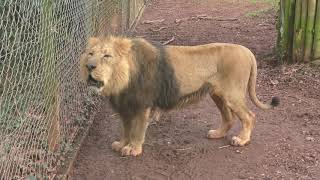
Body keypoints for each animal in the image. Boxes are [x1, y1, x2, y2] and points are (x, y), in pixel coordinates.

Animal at [79, 35, 278, 156]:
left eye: (107, 56)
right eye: (90, 54)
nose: (89, 66)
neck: (120, 79)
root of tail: (247, 51)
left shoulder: (142, 105)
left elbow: (137, 129)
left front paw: (133, 149)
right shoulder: (125, 107)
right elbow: (126, 129)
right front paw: (122, 144)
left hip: (232, 94)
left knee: (250, 116)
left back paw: (242, 140)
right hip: (217, 95)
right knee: (229, 118)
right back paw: (217, 134)